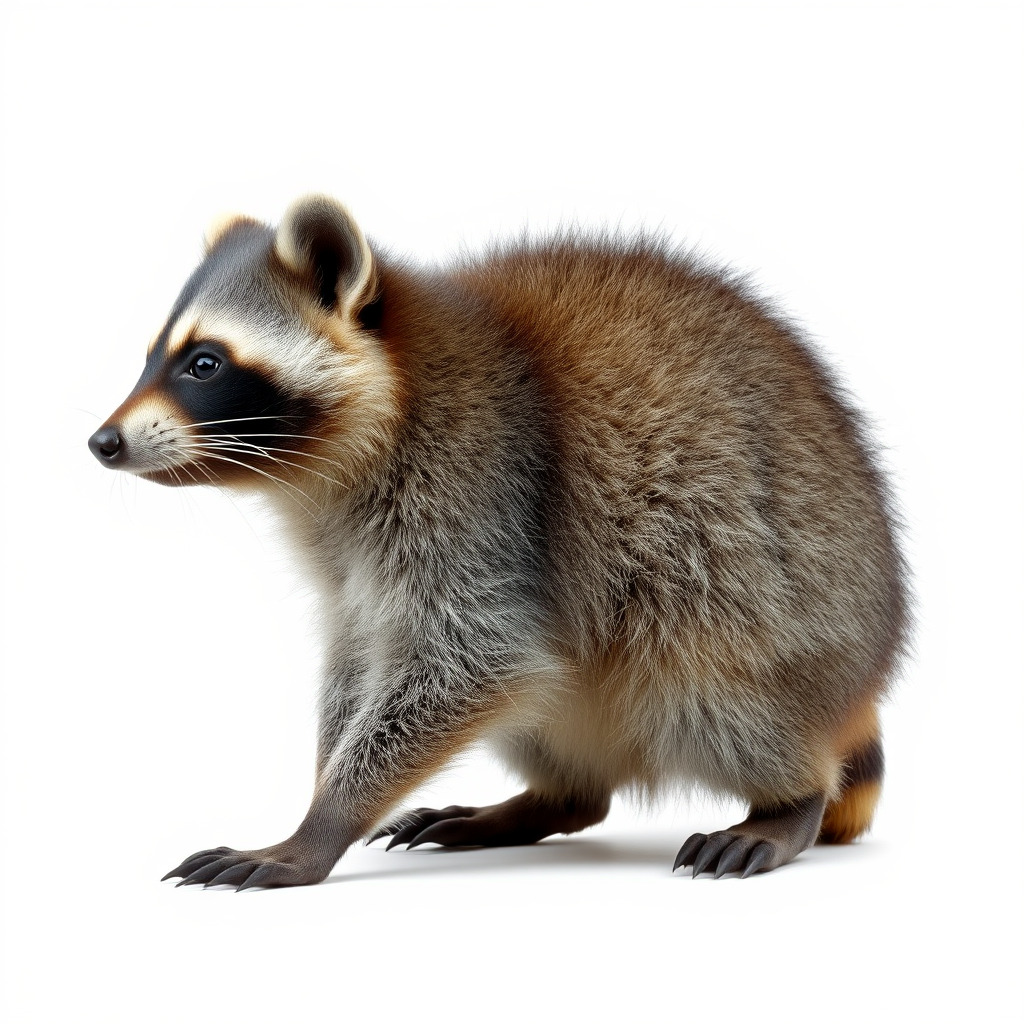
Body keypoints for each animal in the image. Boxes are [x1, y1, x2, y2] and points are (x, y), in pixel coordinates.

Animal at [89, 195, 909, 889]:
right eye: (152, 356)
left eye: (204, 363)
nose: (102, 442)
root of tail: (856, 686)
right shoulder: (351, 559)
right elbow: (362, 653)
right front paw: (322, 788)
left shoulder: (481, 489)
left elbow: (476, 657)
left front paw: (321, 823)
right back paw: (553, 798)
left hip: (768, 626)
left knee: (712, 686)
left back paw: (791, 799)